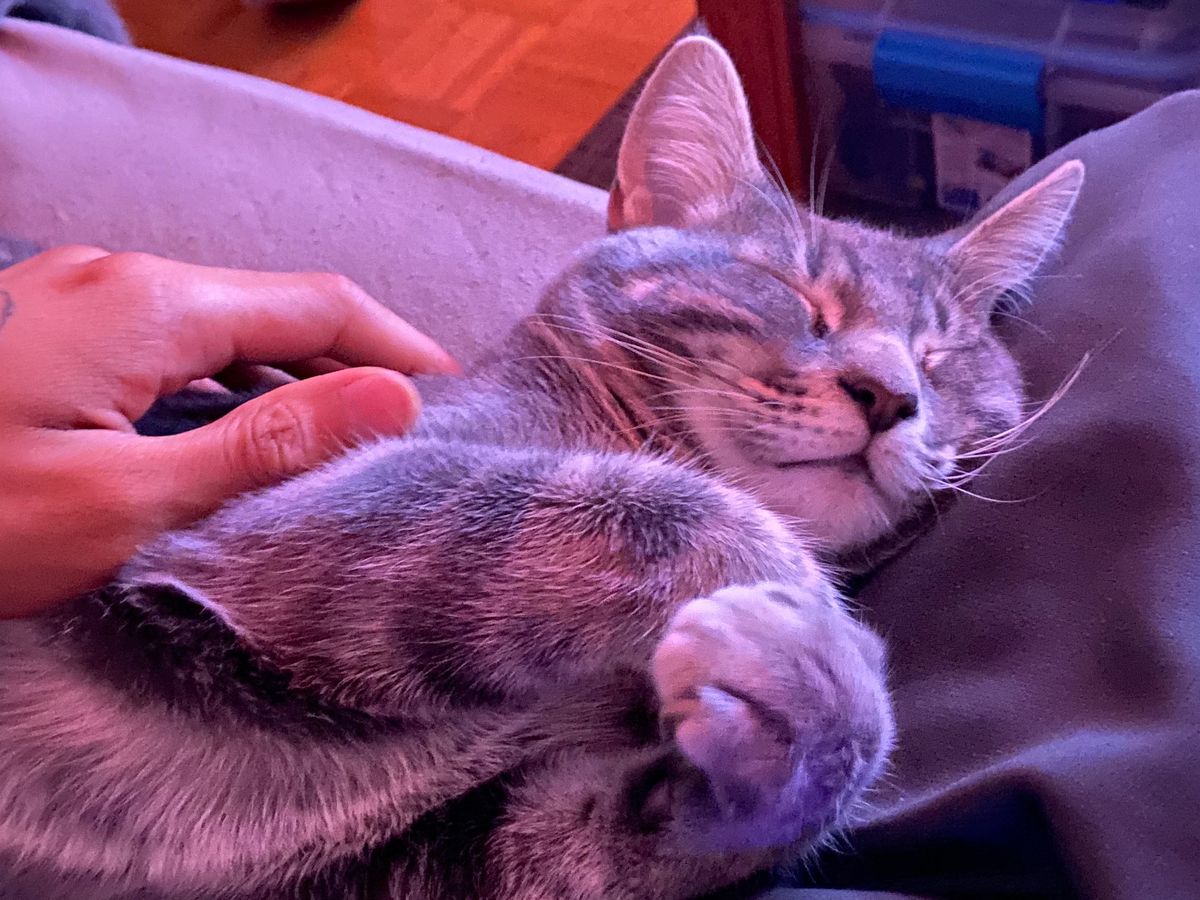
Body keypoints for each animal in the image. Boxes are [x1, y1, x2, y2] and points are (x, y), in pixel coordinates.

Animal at [0, 36, 1084, 900]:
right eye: (792, 292)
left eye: (942, 357)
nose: (891, 393)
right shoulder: (315, 508)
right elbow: (669, 507)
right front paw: (803, 601)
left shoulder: (457, 858)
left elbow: (622, 840)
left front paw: (816, 694)